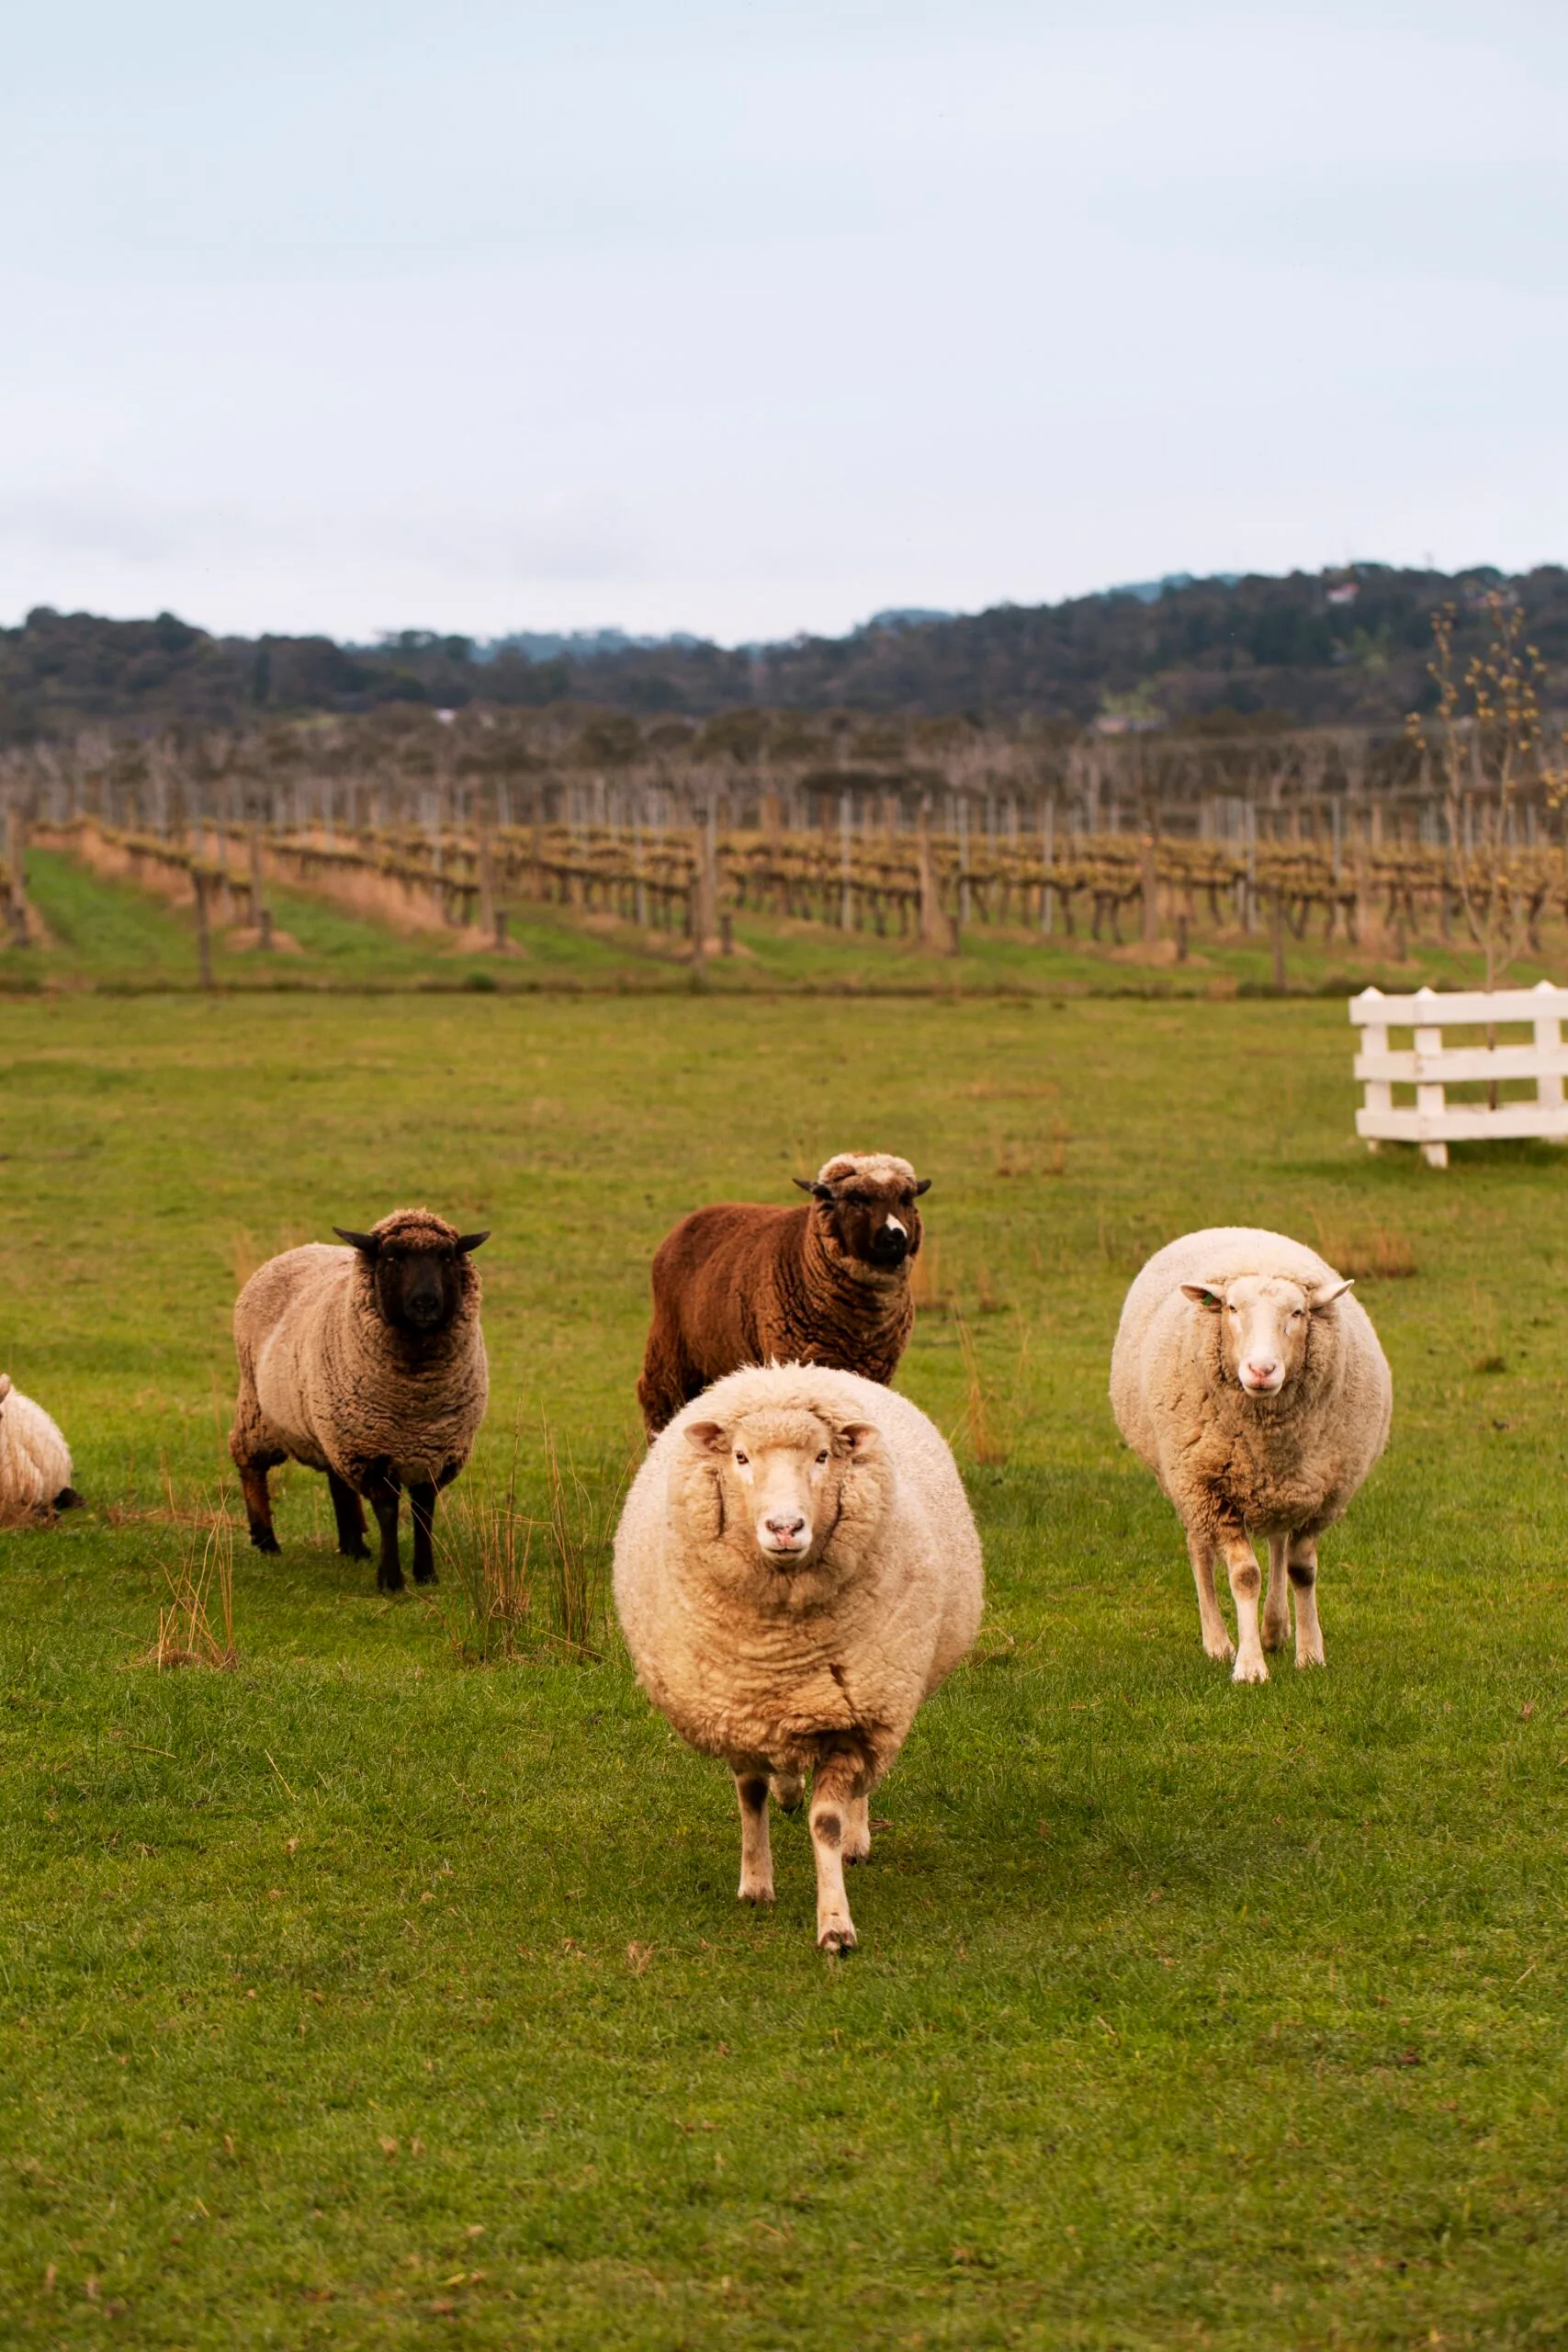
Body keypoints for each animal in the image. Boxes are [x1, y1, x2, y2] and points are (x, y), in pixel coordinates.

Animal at [228, 1207, 489, 1591]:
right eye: (392, 1257)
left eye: (446, 1257)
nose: (425, 1303)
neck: (415, 1400)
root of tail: (300, 1249)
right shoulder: (369, 1451)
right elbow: (388, 1510)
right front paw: (391, 1579)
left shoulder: (436, 1450)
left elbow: (424, 1511)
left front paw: (426, 1574)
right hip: (260, 1410)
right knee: (250, 1464)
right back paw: (266, 1540)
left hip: (331, 1426)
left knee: (338, 1482)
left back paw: (354, 1545)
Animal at [613, 1360, 982, 1952]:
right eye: (741, 1457)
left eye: (823, 1456)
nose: (785, 1528)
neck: (778, 1652)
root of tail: (791, 1368)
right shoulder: (738, 1709)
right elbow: (751, 1797)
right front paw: (755, 1883)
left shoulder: (853, 1718)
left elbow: (826, 1821)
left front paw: (835, 1924)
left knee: (859, 1787)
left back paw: (855, 1838)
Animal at [1110, 1226, 1392, 1683]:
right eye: (1231, 1307)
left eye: (1298, 1312)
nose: (1262, 1370)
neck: (1265, 1431)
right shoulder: (1212, 1489)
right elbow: (1243, 1576)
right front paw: (1249, 1666)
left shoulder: (1322, 1497)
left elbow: (1302, 1570)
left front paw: (1309, 1653)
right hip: (1185, 1482)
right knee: (1201, 1551)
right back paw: (1218, 1641)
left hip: (1279, 1487)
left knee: (1277, 1542)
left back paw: (1275, 1628)